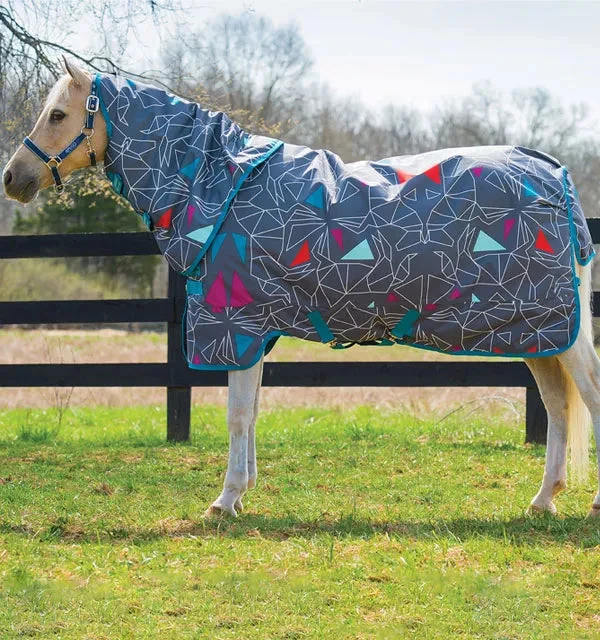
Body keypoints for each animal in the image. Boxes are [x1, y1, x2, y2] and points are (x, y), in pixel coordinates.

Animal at [4, 59, 600, 520]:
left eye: (58, 114)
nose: (13, 178)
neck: (222, 189)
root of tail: (554, 174)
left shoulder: (238, 325)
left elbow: (236, 414)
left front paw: (224, 501)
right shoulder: (256, 331)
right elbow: (252, 411)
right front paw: (241, 494)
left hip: (558, 330)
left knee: (586, 394)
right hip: (534, 331)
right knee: (557, 405)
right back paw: (543, 499)